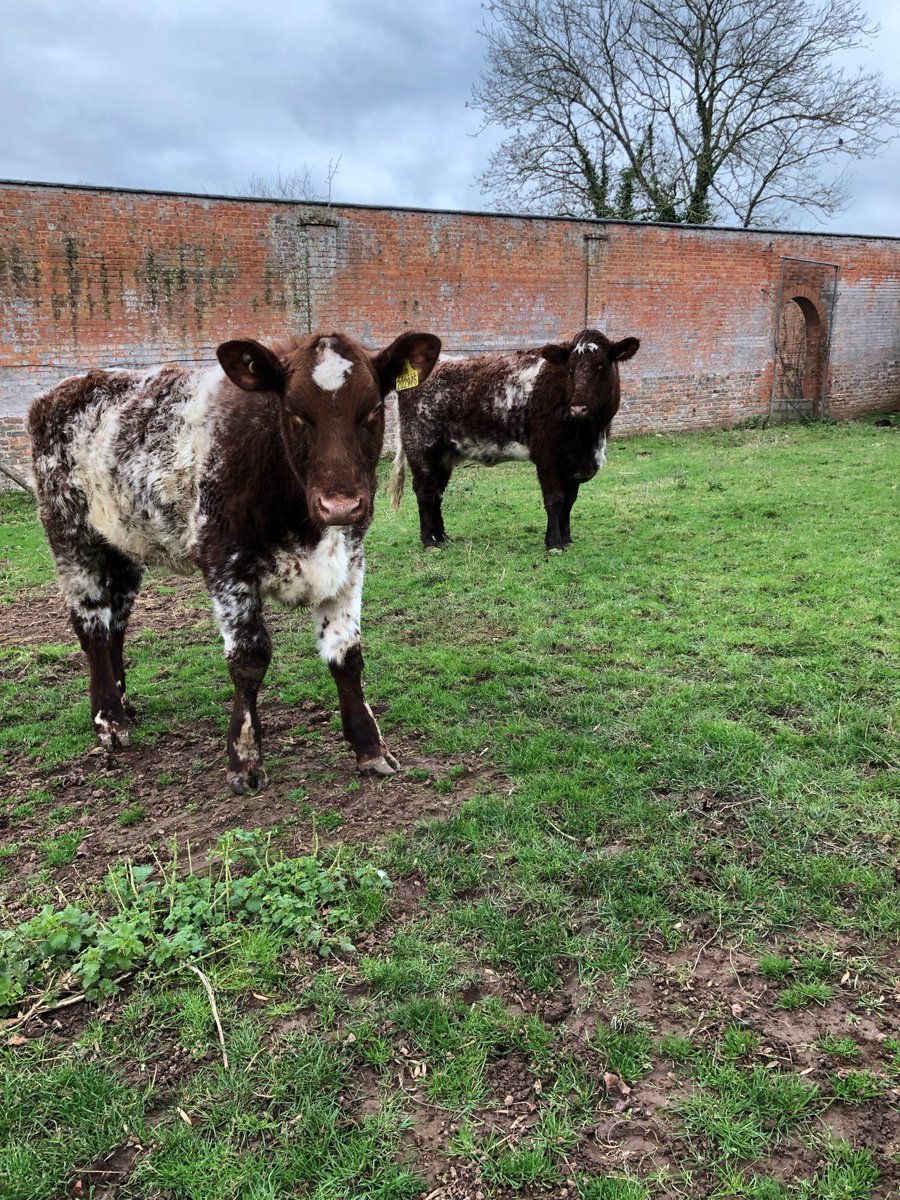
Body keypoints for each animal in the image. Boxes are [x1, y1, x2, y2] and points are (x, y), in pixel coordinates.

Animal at [28, 330, 441, 794]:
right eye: (294, 413)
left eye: (371, 410)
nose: (340, 505)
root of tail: (64, 388)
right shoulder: (225, 563)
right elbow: (249, 659)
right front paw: (244, 761)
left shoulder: (348, 561)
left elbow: (347, 656)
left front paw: (370, 748)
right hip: (71, 537)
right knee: (93, 626)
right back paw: (109, 719)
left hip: (123, 544)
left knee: (117, 623)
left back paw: (123, 703)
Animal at [389, 329, 640, 551]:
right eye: (570, 369)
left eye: (601, 366)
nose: (578, 408)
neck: (589, 436)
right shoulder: (547, 455)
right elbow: (555, 499)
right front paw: (554, 543)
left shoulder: (575, 462)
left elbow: (569, 500)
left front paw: (567, 538)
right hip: (421, 446)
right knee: (425, 491)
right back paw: (429, 541)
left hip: (444, 455)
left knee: (437, 493)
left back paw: (441, 537)